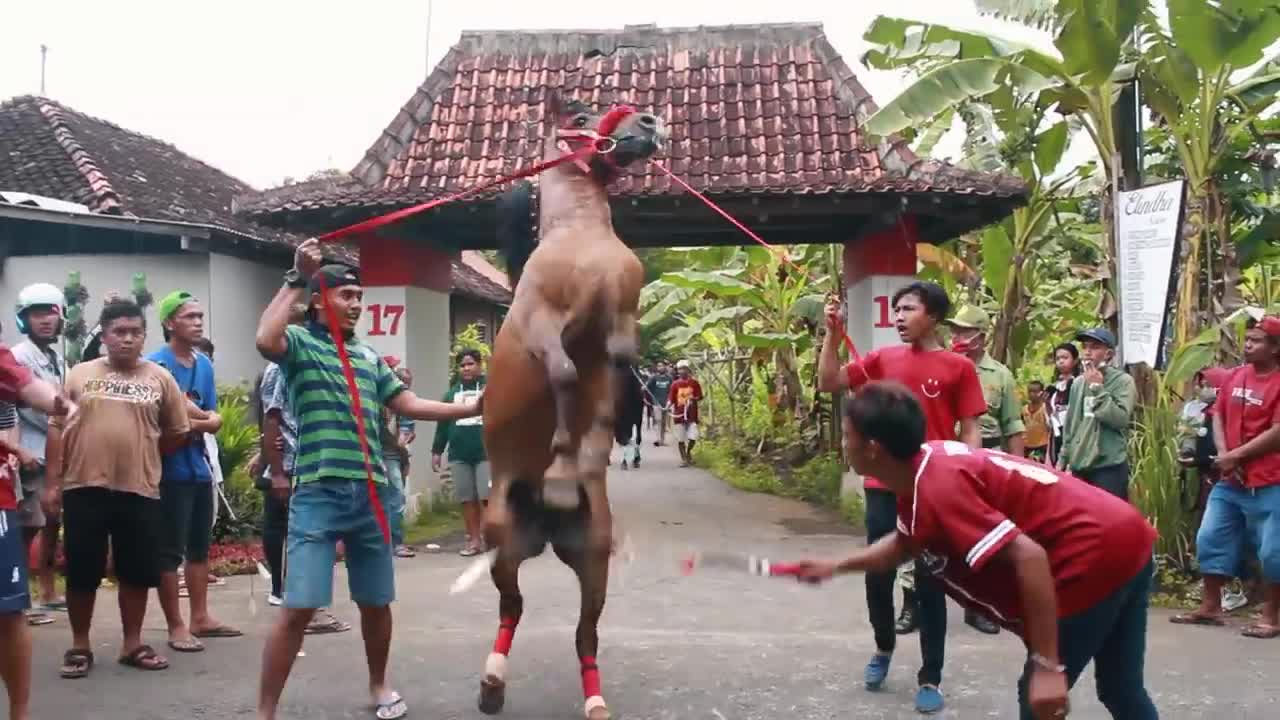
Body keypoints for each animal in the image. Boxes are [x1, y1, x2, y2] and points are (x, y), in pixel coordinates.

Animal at [478, 96, 670, 717]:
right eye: (582, 117)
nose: (650, 125)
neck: (581, 238)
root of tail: (543, 532)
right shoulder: (545, 325)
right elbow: (562, 374)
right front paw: (562, 465)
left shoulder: (619, 323)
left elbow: (612, 383)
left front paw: (587, 453)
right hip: (501, 541)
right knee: (512, 607)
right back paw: (492, 683)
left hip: (594, 559)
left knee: (585, 634)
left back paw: (594, 700)